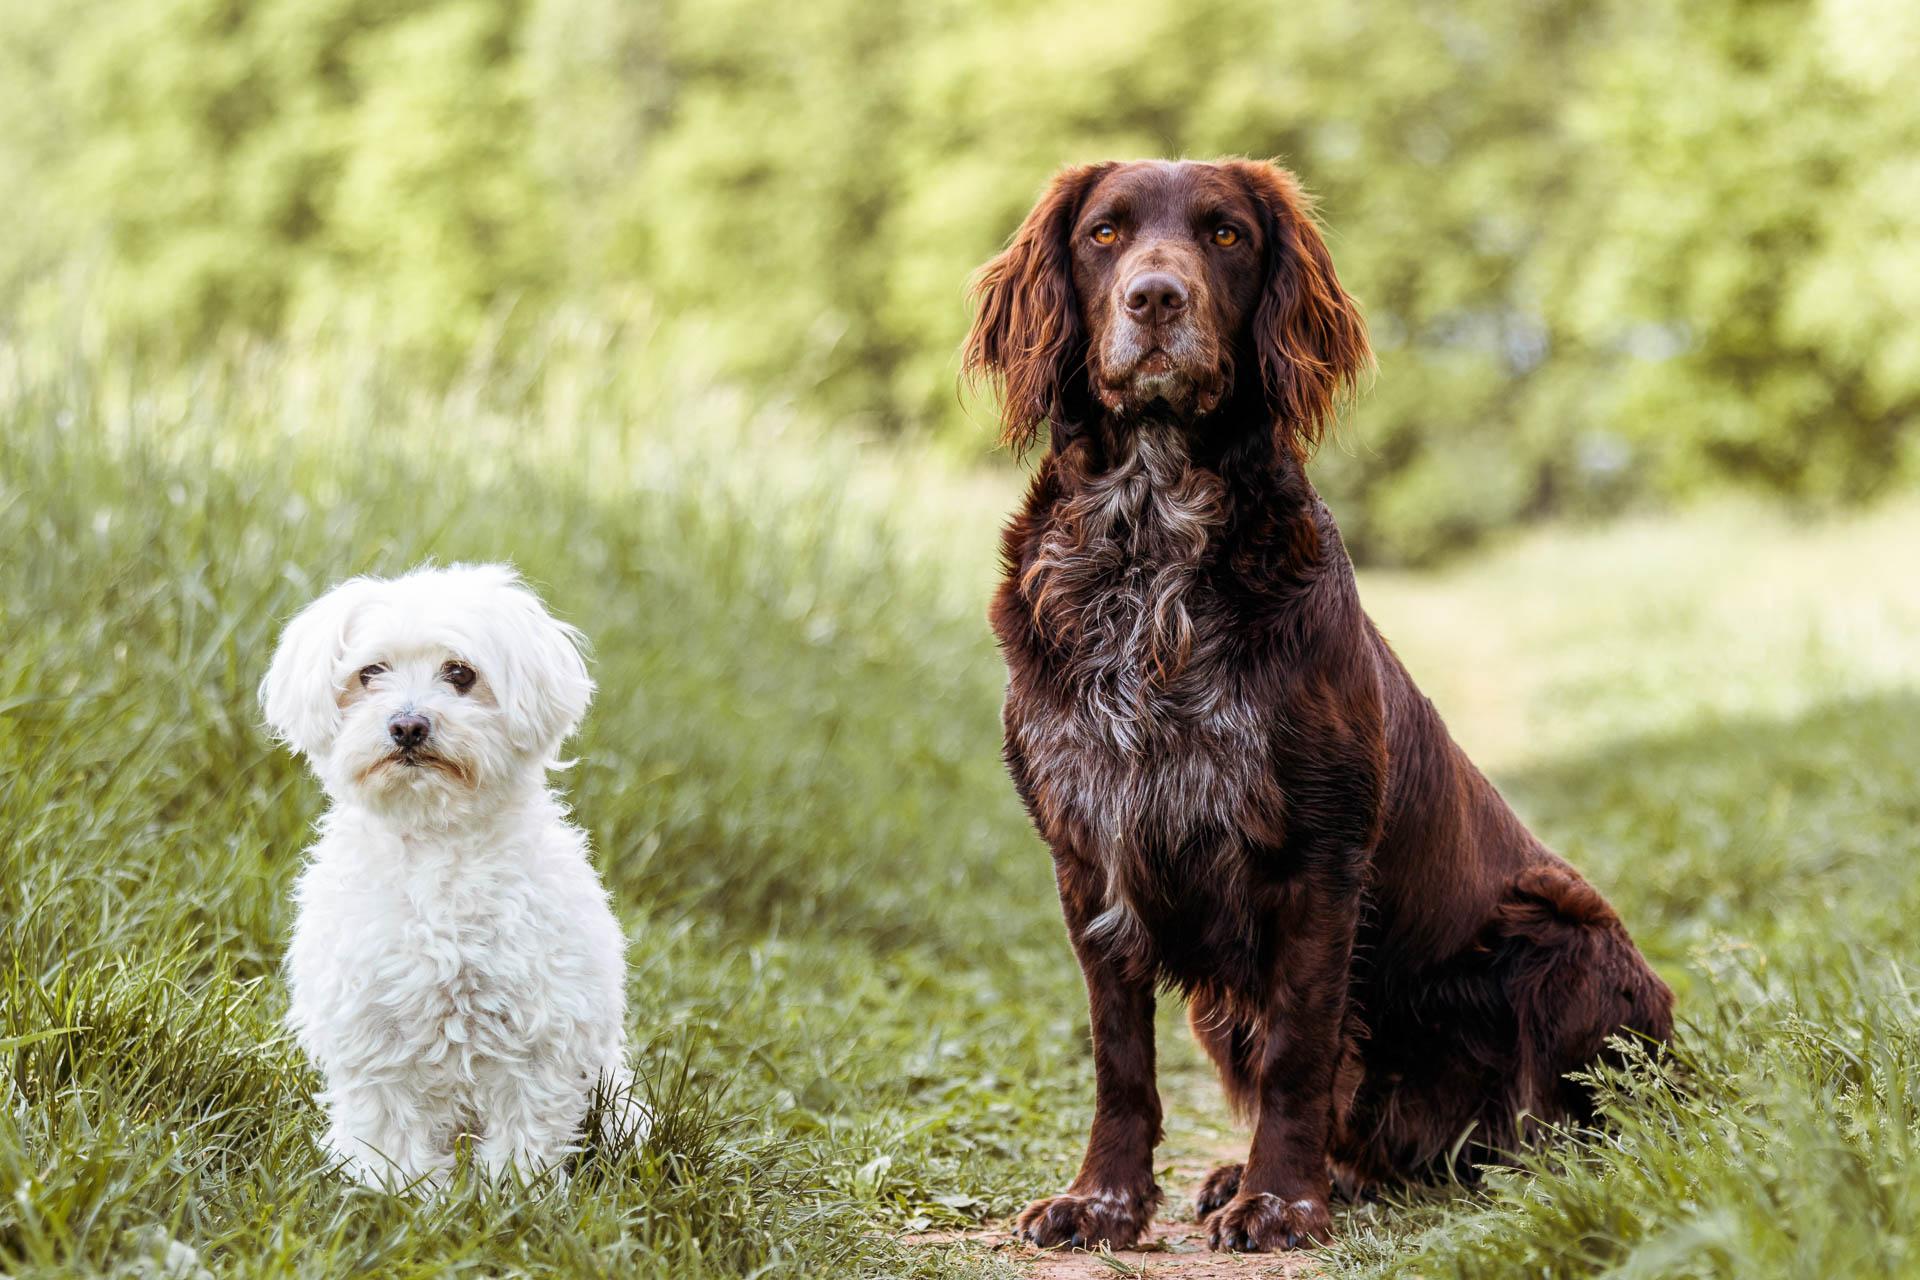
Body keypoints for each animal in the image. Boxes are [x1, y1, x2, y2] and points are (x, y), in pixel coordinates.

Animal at [261, 564, 637, 1189]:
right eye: (370, 673)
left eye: (461, 673)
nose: (408, 725)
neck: (436, 842)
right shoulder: (373, 1029)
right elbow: (389, 1128)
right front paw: (401, 1189)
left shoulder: (537, 1033)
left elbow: (526, 1127)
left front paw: (512, 1192)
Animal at [967, 160, 1674, 1251]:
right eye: (1103, 234)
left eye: (1224, 234)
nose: (1155, 299)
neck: (1152, 544)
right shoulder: (1088, 854)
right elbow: (1119, 1057)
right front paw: (1105, 1199)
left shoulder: (1319, 853)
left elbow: (1301, 1048)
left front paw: (1279, 1202)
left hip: (1559, 927)